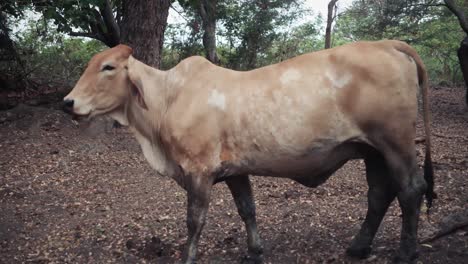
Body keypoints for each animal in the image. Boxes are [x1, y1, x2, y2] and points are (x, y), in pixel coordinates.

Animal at [62, 39, 436, 264]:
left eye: (108, 67)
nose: (68, 102)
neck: (168, 99)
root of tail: (387, 43)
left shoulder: (198, 171)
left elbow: (194, 220)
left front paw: (188, 257)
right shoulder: (235, 170)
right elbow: (247, 209)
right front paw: (255, 251)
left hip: (396, 143)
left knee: (410, 190)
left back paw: (405, 252)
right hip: (372, 150)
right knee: (379, 194)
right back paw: (359, 247)